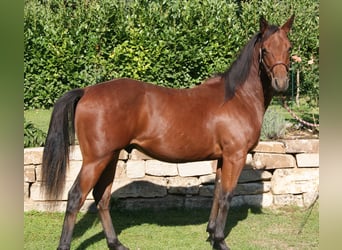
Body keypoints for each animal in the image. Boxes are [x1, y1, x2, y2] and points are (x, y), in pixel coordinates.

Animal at [41, 15, 294, 250]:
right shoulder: (235, 156)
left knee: (102, 197)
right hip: (95, 160)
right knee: (75, 197)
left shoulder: (223, 158)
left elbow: (216, 193)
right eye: (265, 49)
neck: (237, 97)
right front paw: (221, 241)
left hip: (110, 157)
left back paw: (116, 243)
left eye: (289, 47)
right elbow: (226, 196)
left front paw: (212, 233)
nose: (281, 83)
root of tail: (86, 91)